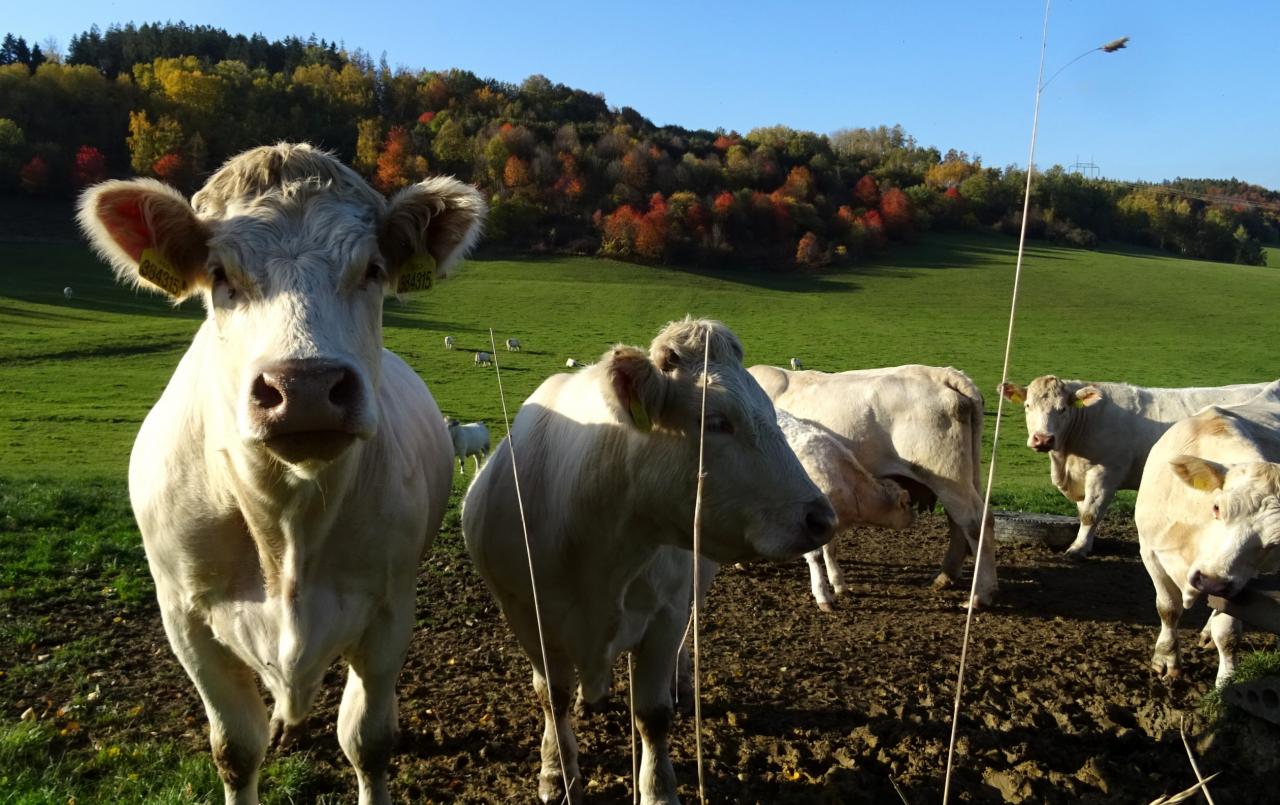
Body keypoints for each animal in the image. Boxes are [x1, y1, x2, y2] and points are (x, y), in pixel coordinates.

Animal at [76, 143, 485, 805]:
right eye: (219, 275)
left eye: (372, 268)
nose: (306, 387)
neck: (287, 525)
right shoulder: (184, 617)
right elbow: (235, 749)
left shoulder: (390, 608)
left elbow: (367, 740)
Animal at [463, 318, 835, 805]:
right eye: (717, 421)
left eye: (772, 416)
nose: (822, 517)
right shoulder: (525, 614)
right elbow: (552, 698)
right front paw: (555, 774)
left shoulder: (664, 614)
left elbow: (652, 715)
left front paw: (658, 789)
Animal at [775, 410, 915, 610]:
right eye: (909, 502)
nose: (914, 516)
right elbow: (816, 557)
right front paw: (823, 595)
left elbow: (831, 551)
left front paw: (839, 583)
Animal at [1001, 376, 1272, 559]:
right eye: (1028, 406)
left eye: (1063, 408)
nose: (1043, 439)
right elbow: (1083, 511)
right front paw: (1086, 544)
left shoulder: (1105, 473)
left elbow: (1090, 513)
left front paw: (1077, 549)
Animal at [1135, 383, 1280, 686]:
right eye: (1217, 507)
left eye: (1275, 541)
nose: (1211, 581)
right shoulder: (1150, 551)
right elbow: (1168, 608)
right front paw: (1166, 659)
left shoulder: (1238, 579)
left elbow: (1228, 630)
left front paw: (1226, 681)